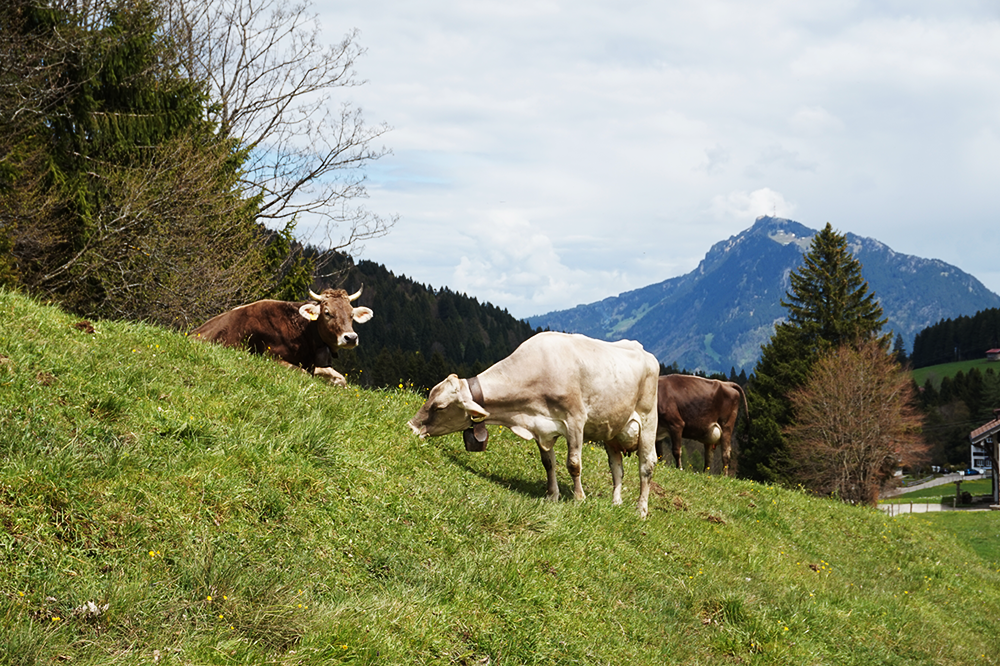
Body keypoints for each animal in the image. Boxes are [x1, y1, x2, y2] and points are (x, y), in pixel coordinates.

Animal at [189, 284, 374, 386]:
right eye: (327, 313)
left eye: (351, 314)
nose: (350, 338)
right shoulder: (271, 357)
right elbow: (305, 375)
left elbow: (342, 379)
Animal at [406, 332, 664, 520]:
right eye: (430, 394)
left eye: (439, 407)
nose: (411, 426)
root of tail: (643, 350)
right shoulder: (542, 427)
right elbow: (548, 463)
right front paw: (552, 495)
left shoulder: (575, 420)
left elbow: (574, 464)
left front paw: (579, 498)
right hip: (612, 430)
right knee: (617, 467)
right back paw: (616, 502)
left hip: (648, 420)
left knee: (646, 466)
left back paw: (641, 510)